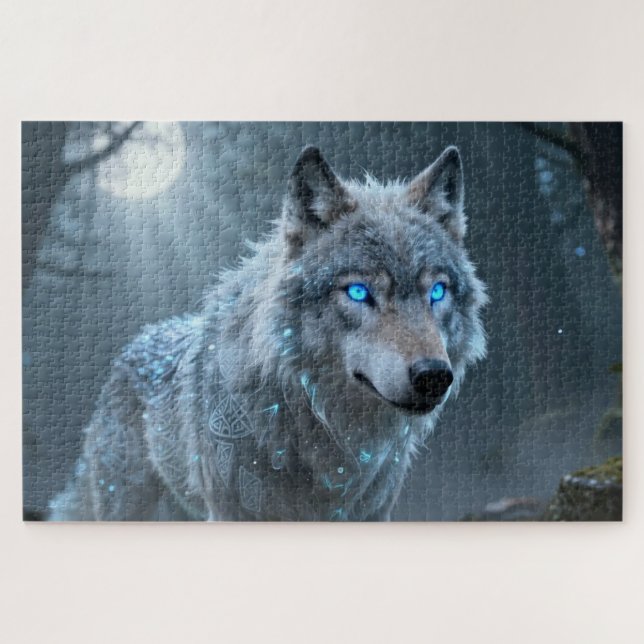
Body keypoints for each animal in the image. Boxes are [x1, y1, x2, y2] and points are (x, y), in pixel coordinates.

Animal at [48, 145, 487, 521]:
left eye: (437, 292)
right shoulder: (235, 511)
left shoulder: (372, 513)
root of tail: (137, 340)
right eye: (359, 292)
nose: (433, 376)